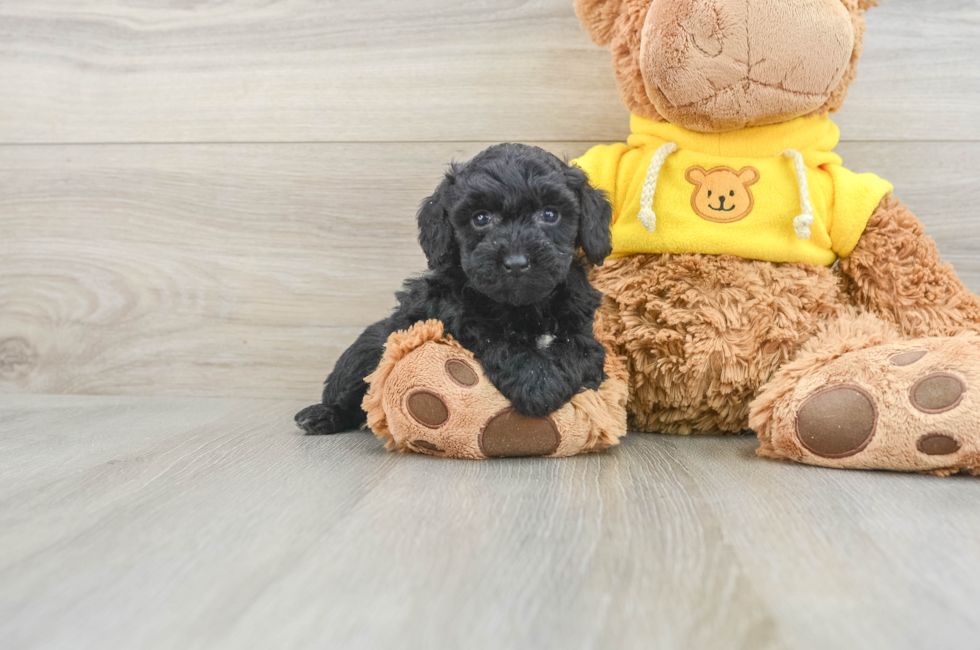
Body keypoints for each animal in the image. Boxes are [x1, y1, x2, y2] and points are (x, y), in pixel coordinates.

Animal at [294, 144, 608, 432]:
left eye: (550, 214)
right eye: (480, 218)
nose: (517, 262)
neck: (523, 308)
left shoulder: (581, 323)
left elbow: (578, 350)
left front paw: (566, 381)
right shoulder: (452, 313)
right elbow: (496, 339)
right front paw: (537, 382)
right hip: (365, 354)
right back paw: (321, 415)